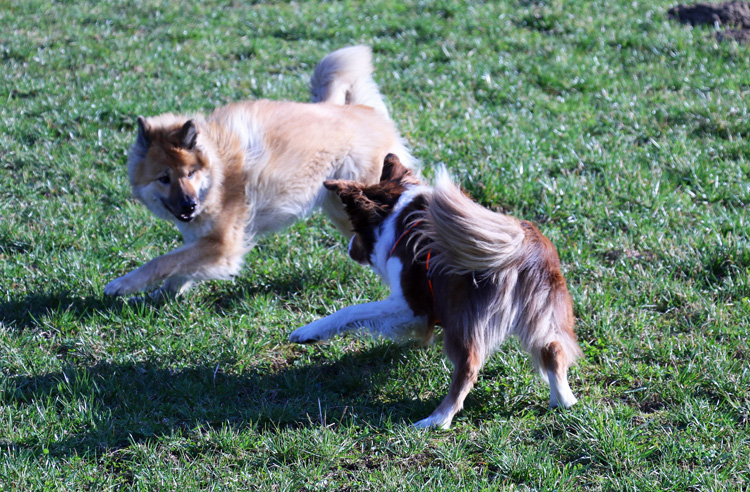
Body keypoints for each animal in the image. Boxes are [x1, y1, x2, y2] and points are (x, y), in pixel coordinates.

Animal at [104, 46, 418, 298]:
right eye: (164, 178)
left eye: (191, 173)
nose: (189, 205)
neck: (218, 172)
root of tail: (363, 110)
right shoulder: (205, 241)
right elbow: (177, 268)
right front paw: (160, 296)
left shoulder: (222, 244)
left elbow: (162, 261)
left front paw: (123, 285)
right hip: (342, 210)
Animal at [290, 156, 584, 428]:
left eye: (355, 229)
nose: (350, 249)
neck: (398, 214)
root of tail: (522, 245)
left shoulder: (412, 305)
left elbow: (351, 311)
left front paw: (307, 333)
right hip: (543, 312)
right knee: (553, 349)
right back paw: (563, 400)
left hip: (463, 318)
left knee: (468, 368)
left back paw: (437, 419)